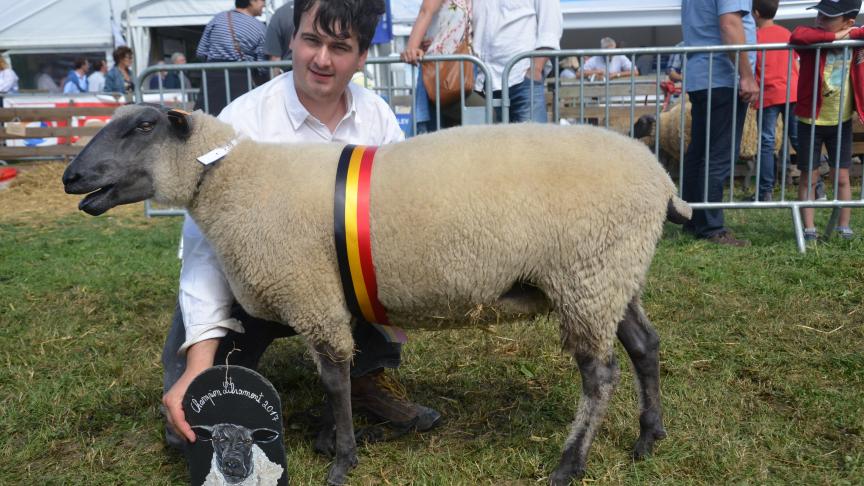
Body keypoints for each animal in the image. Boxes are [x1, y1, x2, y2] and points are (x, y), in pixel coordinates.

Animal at [60, 105, 692, 486]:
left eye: (142, 126)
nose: (70, 177)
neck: (229, 182)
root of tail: (663, 180)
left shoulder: (308, 291)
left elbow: (334, 377)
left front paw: (341, 459)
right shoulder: (320, 294)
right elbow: (336, 370)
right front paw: (328, 440)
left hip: (587, 274)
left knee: (600, 374)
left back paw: (569, 462)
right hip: (613, 277)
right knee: (645, 346)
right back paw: (649, 437)